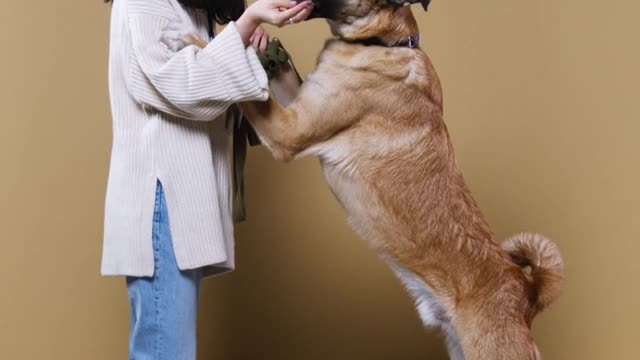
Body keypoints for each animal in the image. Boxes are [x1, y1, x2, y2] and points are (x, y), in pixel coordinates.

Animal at [182, 1, 564, 358]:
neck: (382, 43)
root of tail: (526, 292)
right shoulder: (300, 106)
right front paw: (258, 47)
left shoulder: (289, 131)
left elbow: (248, 95)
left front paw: (199, 45)